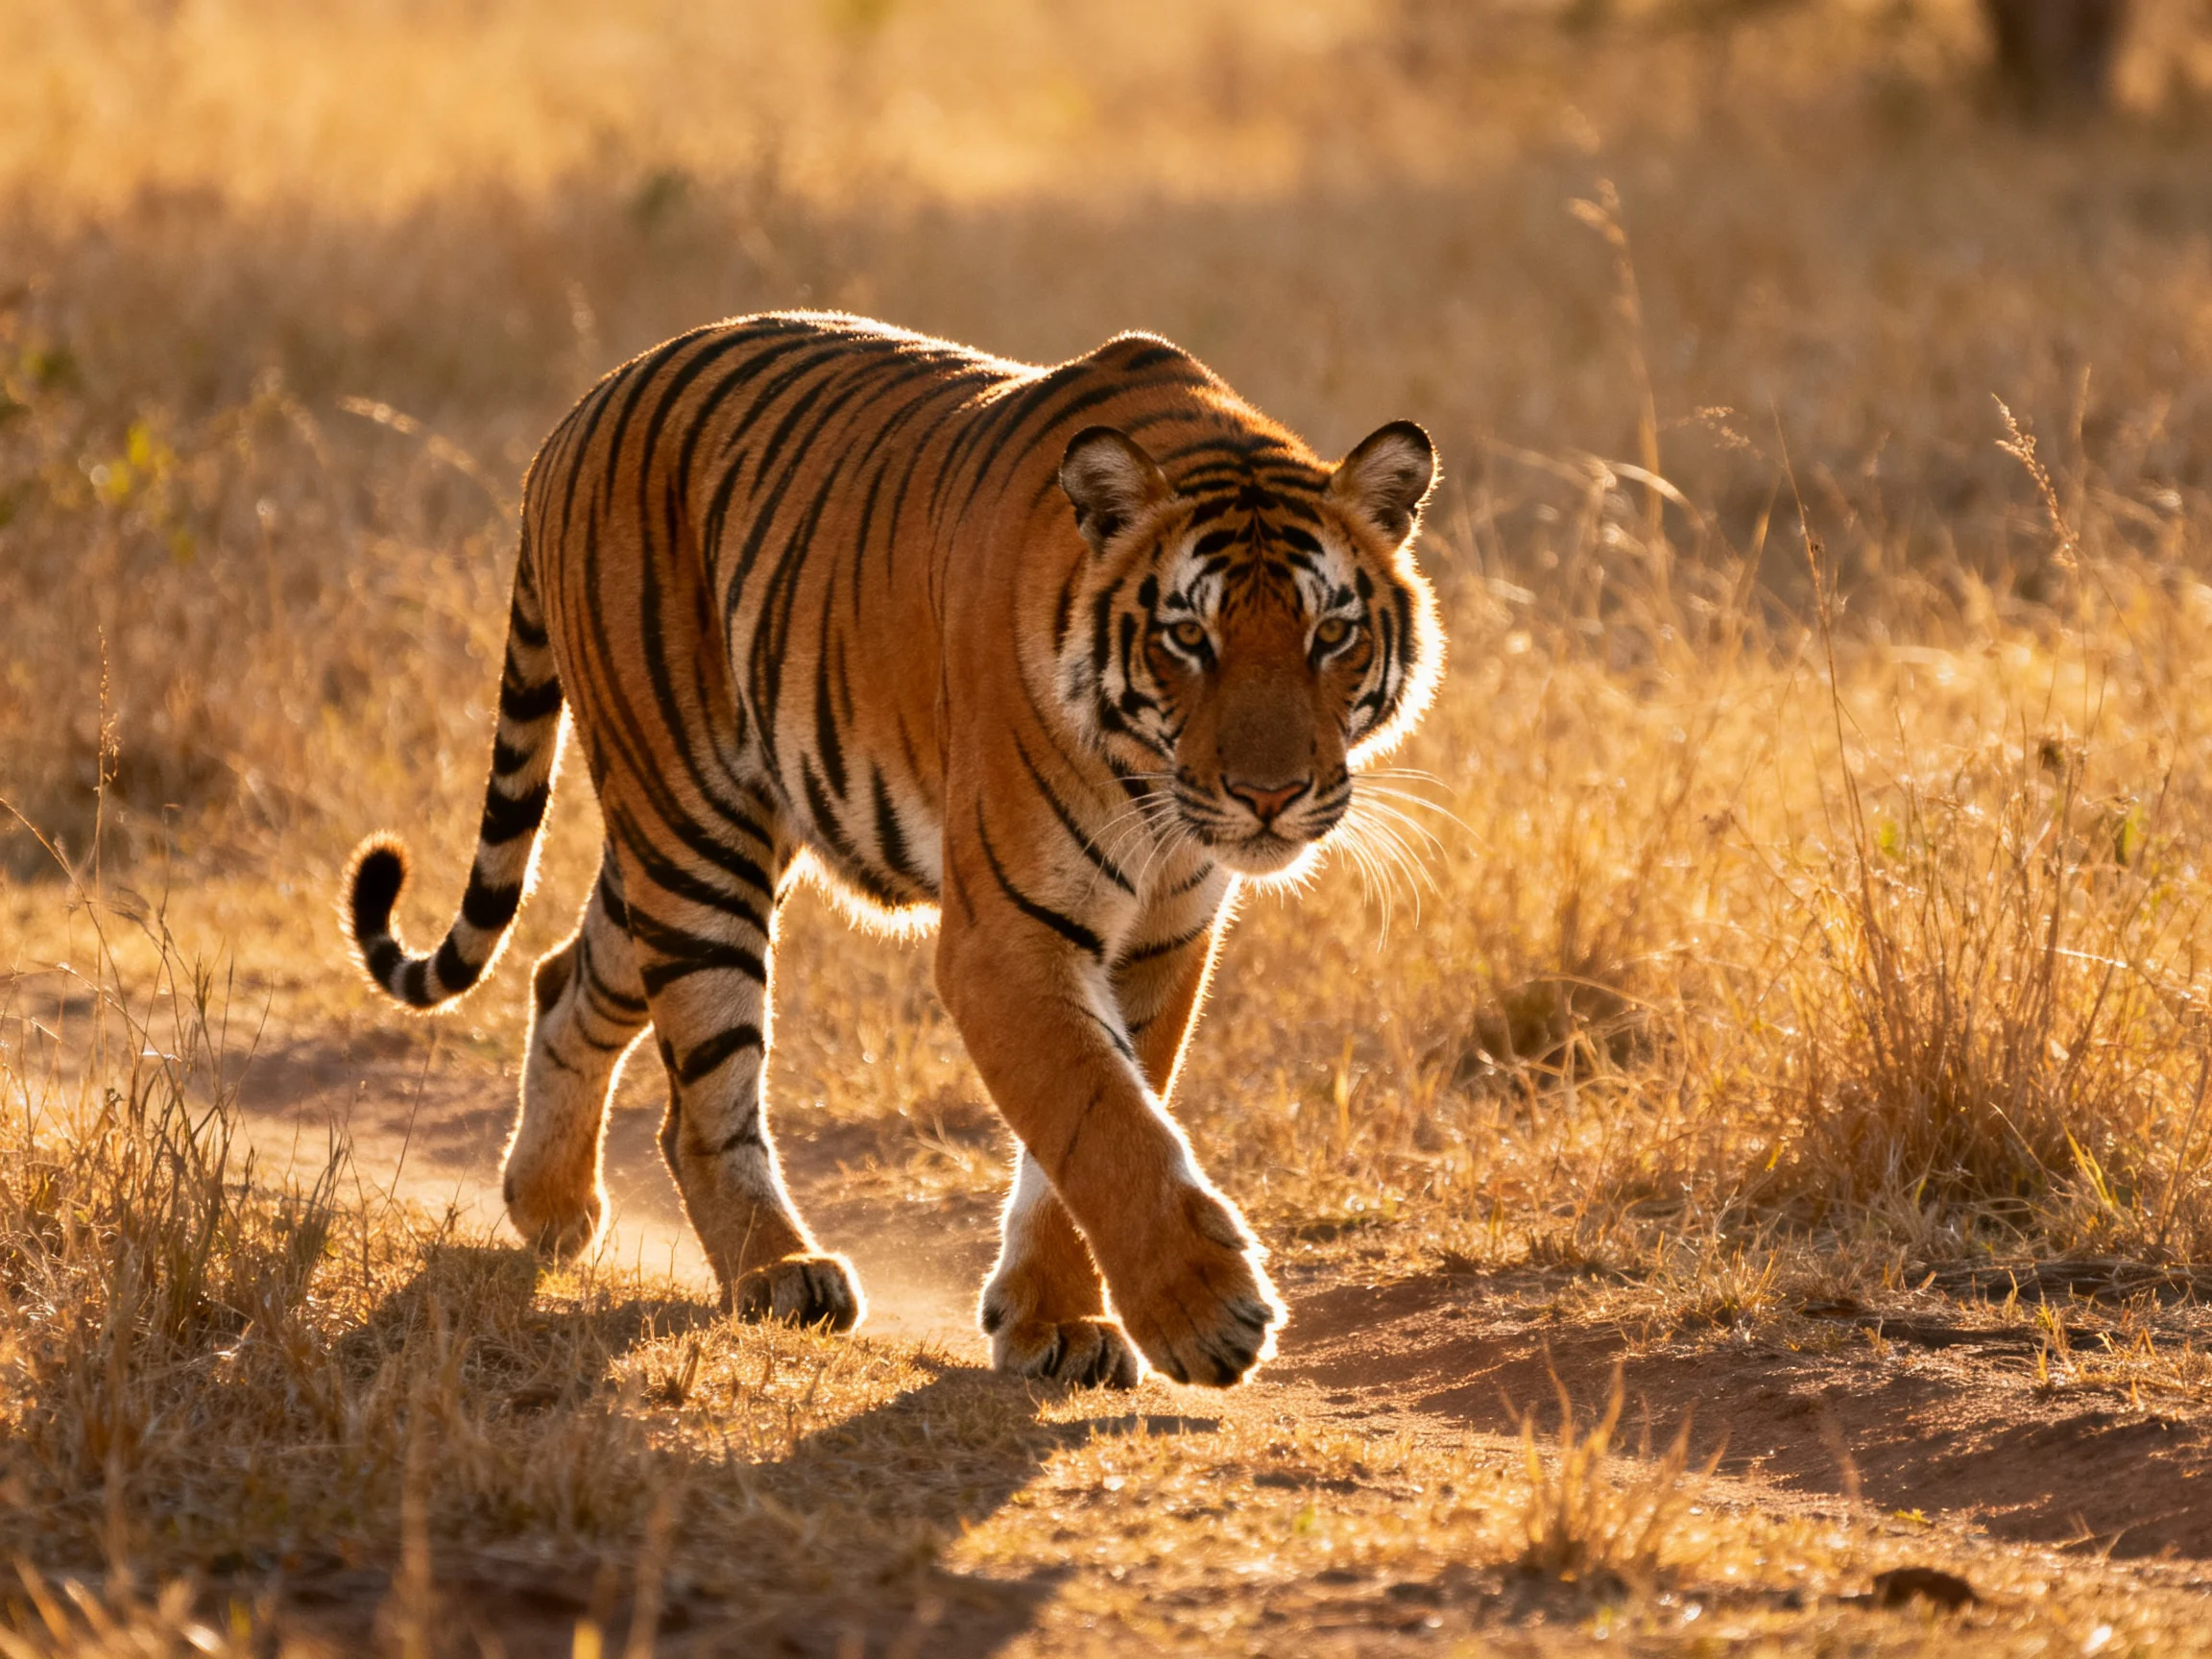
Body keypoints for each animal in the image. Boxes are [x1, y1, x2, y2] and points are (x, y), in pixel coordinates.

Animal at [344, 312, 1442, 1389]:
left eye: (1331, 634)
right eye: (1187, 638)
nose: (1269, 797)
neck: (1153, 795)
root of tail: (575, 415)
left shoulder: (1161, 939)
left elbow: (1098, 1119)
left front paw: (1055, 1321)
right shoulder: (1008, 937)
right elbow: (1100, 1115)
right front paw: (1204, 1312)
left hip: (693, 835)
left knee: (566, 976)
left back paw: (550, 1206)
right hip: (692, 827)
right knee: (704, 1090)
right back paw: (778, 1272)